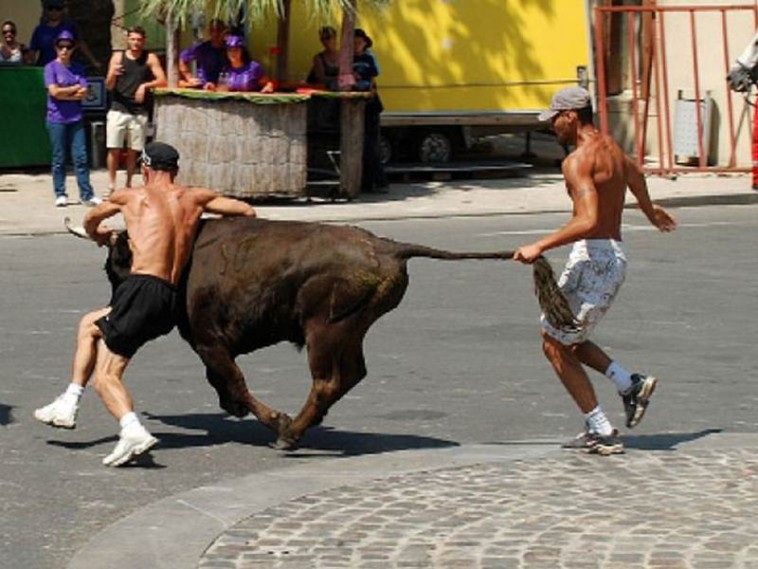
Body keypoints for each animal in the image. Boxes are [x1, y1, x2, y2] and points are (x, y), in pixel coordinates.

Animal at [66, 216, 575, 450]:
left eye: (112, 265)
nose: (113, 308)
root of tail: (388, 246)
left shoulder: (211, 342)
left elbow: (234, 379)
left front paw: (268, 418)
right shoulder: (209, 346)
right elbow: (224, 381)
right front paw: (236, 409)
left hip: (324, 332)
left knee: (329, 379)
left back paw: (290, 433)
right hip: (347, 331)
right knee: (349, 375)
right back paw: (303, 425)